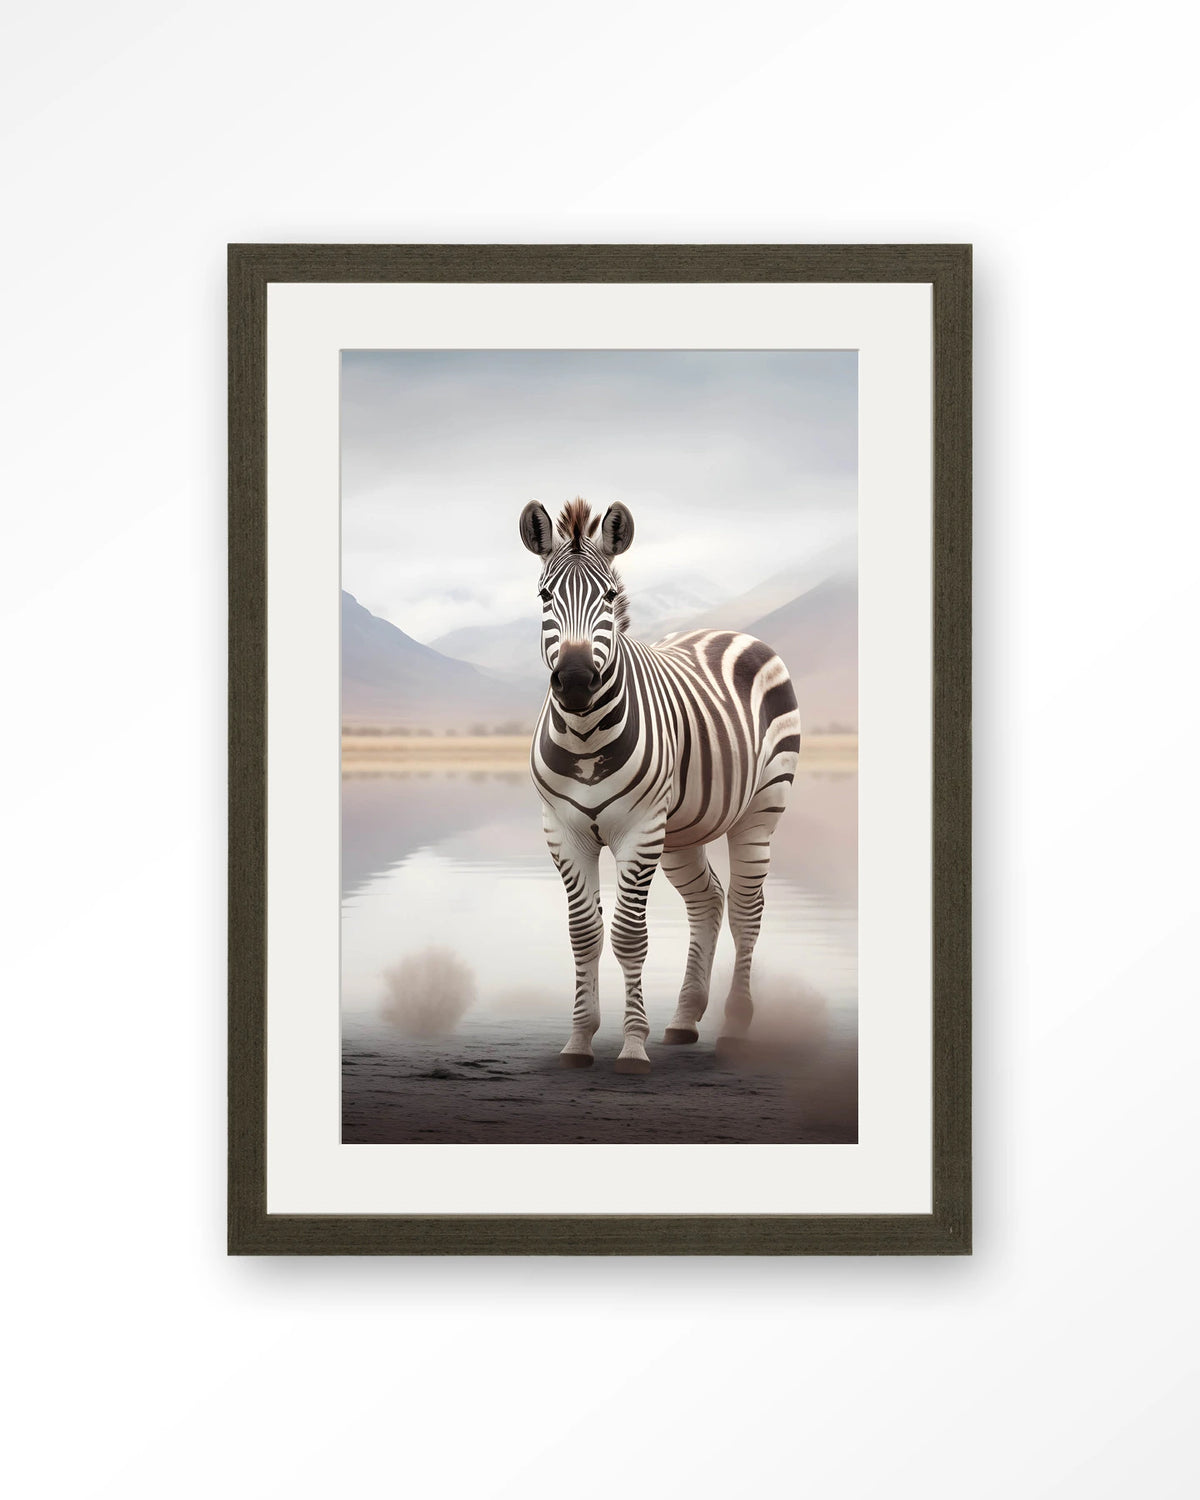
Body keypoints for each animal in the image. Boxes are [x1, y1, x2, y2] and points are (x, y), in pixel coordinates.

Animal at [519, 496, 801, 1074]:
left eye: (608, 596)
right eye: (544, 596)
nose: (575, 681)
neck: (584, 735)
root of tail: (730, 631)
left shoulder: (638, 830)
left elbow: (629, 936)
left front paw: (632, 1047)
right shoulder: (563, 832)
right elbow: (584, 935)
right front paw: (579, 1040)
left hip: (760, 810)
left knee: (746, 910)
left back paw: (734, 1028)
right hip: (682, 832)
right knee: (708, 901)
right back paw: (685, 1019)